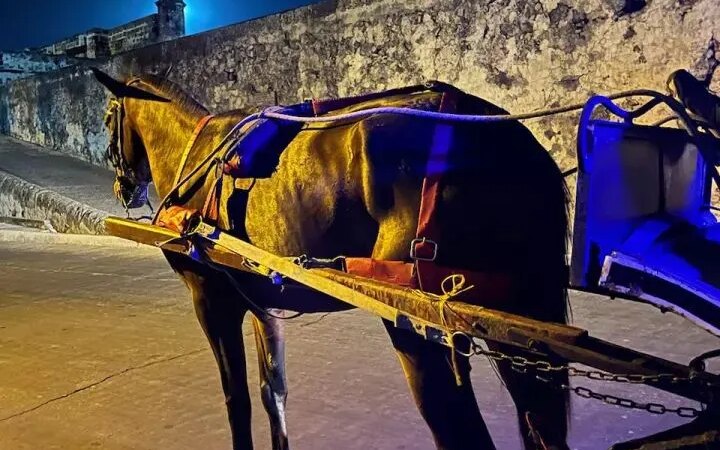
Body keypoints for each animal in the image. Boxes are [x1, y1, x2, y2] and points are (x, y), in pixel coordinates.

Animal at [92, 67, 571, 450]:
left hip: (416, 322)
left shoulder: (210, 298)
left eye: (107, 118)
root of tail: (506, 140)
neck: (193, 150)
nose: (122, 188)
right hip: (518, 313)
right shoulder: (262, 302)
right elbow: (273, 393)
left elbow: (236, 400)